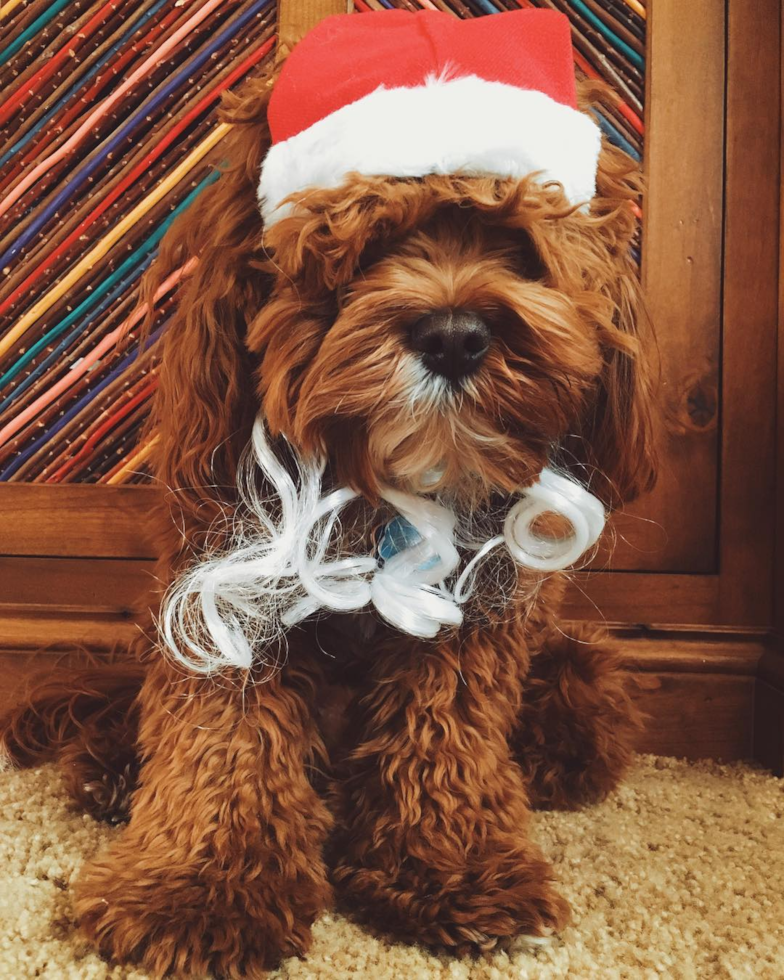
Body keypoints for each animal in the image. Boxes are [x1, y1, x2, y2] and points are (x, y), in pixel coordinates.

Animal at [1, 11, 656, 976]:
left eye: (518, 246)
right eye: (366, 244)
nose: (454, 335)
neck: (383, 497)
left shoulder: (477, 616)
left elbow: (447, 730)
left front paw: (451, 864)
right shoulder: (226, 586)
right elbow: (221, 736)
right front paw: (196, 887)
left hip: (573, 659)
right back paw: (117, 769)